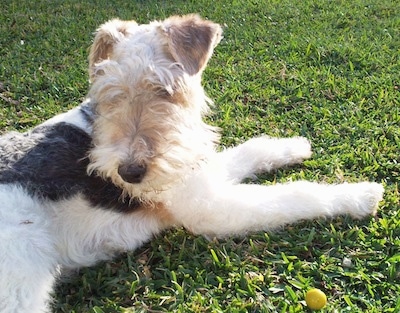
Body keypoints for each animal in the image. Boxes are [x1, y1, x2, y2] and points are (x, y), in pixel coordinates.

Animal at [0, 14, 384, 310]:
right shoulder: (209, 209)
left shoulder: (196, 173)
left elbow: (248, 151)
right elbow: (296, 195)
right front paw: (361, 195)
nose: (129, 173)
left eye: (164, 89)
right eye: (109, 93)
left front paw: (294, 146)